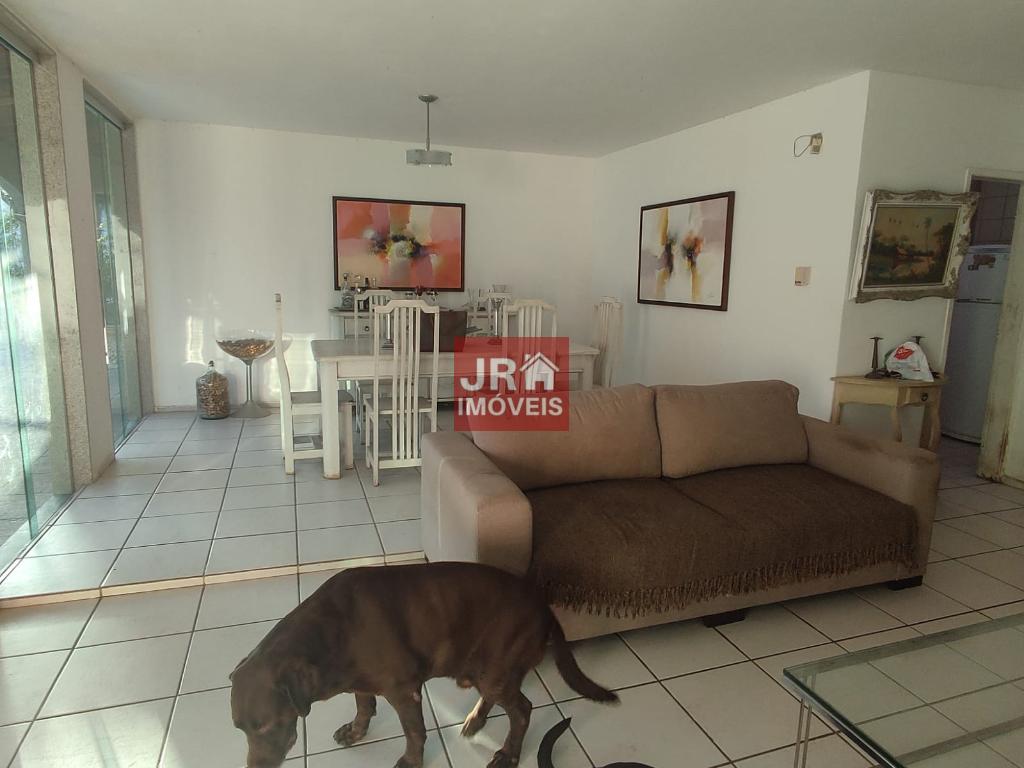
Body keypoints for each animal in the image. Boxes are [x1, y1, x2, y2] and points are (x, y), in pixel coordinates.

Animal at [230, 562, 618, 768]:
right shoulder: (361, 683)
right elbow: (363, 707)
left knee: (522, 710)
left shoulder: (404, 691)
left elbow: (414, 731)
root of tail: (546, 608)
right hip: (483, 669)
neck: (332, 629)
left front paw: (411, 761)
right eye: (239, 729)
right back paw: (476, 719)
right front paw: (355, 731)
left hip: (496, 670)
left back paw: (508, 753)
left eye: (266, 726)